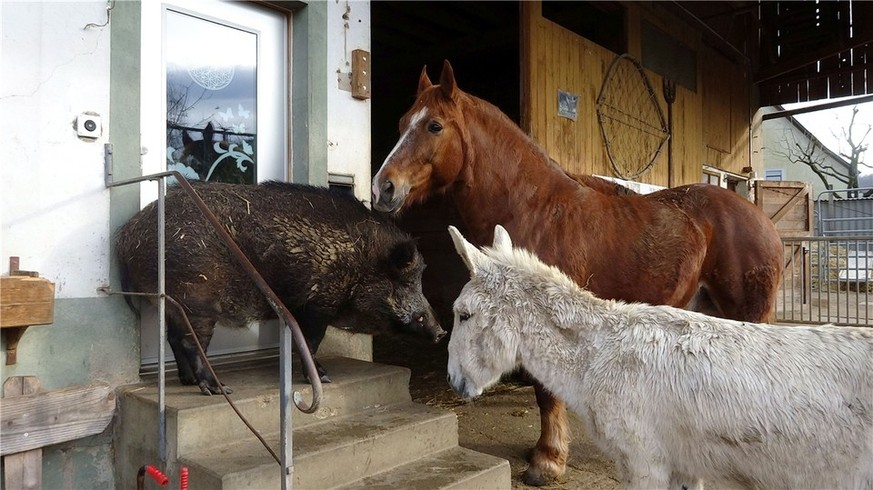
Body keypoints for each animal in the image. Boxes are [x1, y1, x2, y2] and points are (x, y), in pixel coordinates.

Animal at [370, 59, 784, 484]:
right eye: (402, 122)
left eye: (434, 125)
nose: (383, 188)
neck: (534, 210)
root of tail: (761, 220)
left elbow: (546, 392)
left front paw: (547, 461)